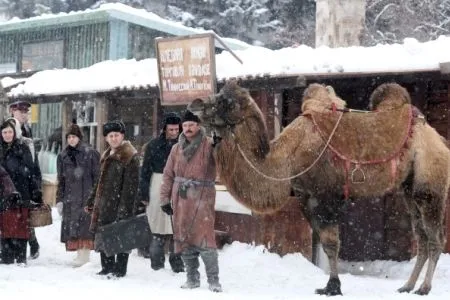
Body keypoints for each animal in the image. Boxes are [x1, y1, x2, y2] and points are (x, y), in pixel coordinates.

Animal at [189, 81, 450, 296]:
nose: (196, 104)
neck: (287, 158)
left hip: (430, 186)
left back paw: (424, 288)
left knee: (435, 237)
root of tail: (438, 139)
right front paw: (329, 285)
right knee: (421, 236)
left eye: (226, 102)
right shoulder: (306, 197)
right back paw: (407, 286)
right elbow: (324, 242)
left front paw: (333, 287)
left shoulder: (325, 195)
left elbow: (332, 243)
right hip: (409, 190)